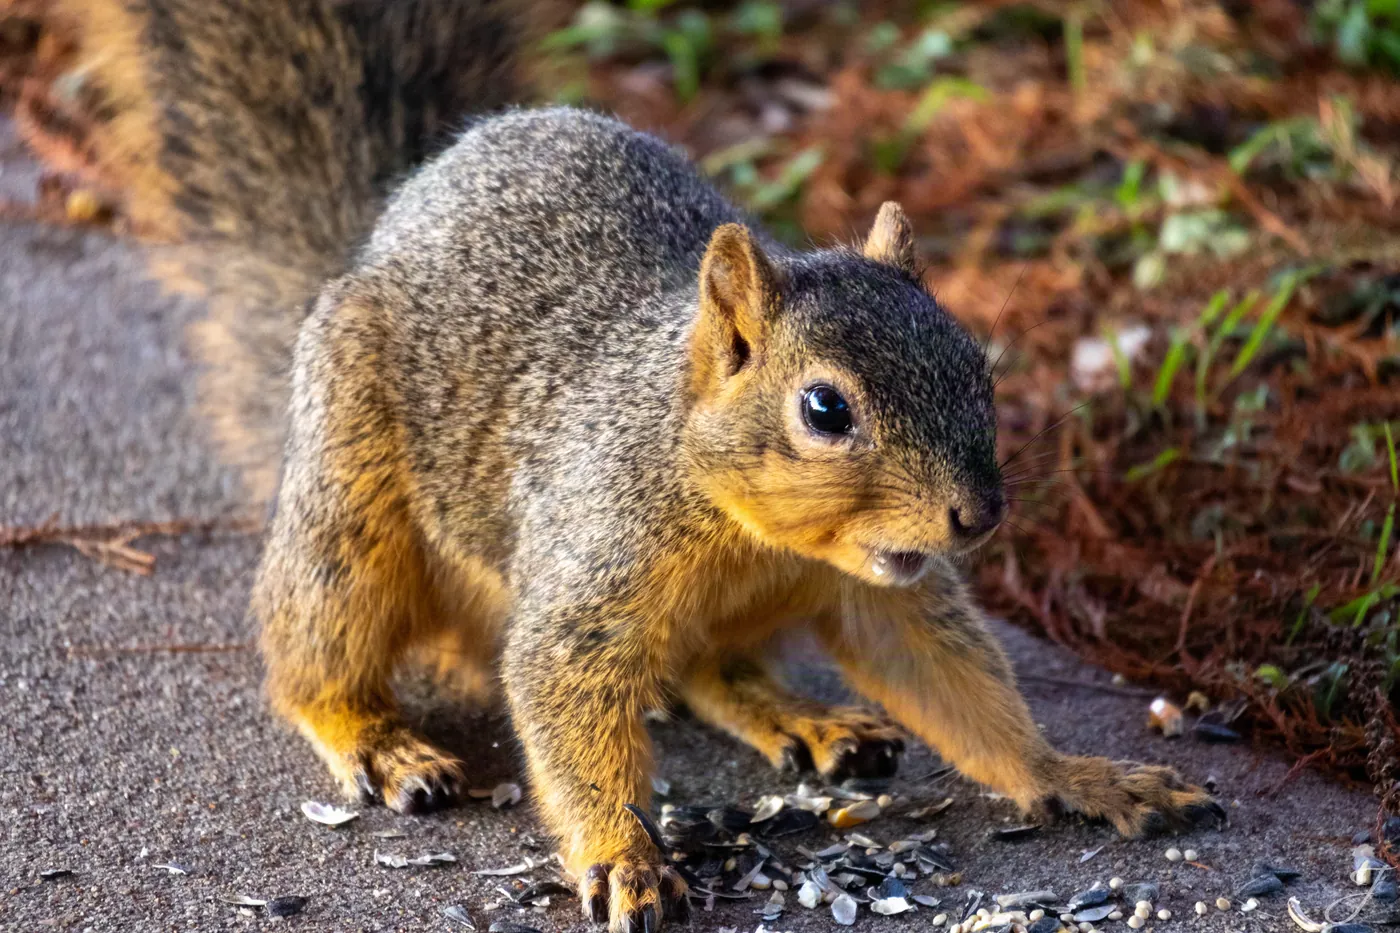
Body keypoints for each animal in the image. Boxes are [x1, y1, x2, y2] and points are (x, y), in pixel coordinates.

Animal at [18, 2, 1224, 930]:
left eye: (976, 362)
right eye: (824, 408)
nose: (976, 515)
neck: (744, 523)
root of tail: (361, 246)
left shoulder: (883, 594)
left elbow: (953, 682)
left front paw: (1073, 776)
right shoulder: (593, 561)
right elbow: (559, 689)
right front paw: (623, 858)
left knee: (707, 673)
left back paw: (807, 718)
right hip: (350, 502)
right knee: (312, 642)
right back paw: (374, 737)